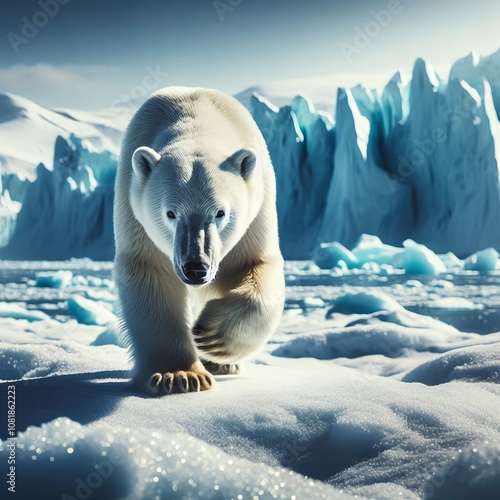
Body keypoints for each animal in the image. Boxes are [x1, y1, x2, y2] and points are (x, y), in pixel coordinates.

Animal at [114, 88, 286, 396]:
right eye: (170, 212)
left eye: (220, 212)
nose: (196, 267)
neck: (196, 119)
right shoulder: (134, 206)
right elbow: (150, 273)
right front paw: (179, 375)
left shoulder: (256, 208)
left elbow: (252, 264)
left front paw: (210, 335)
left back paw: (222, 363)